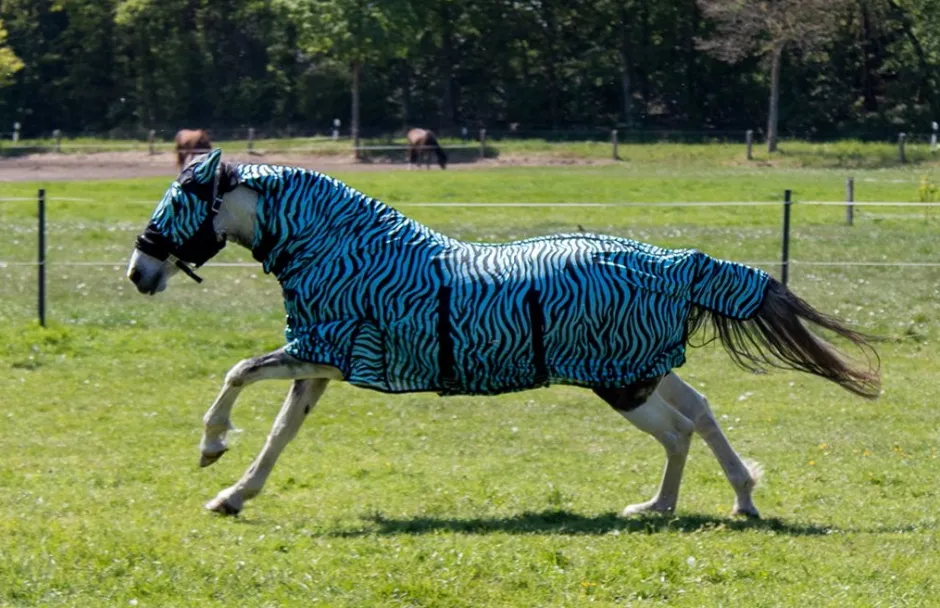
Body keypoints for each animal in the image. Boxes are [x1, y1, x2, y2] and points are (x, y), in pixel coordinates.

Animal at [127, 149, 880, 517]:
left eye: (175, 202)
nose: (138, 272)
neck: (343, 251)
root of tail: (673, 263)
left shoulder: (323, 354)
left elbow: (237, 375)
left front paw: (211, 450)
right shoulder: (319, 364)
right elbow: (281, 434)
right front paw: (232, 495)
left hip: (623, 379)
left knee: (682, 425)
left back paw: (701, 505)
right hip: (637, 373)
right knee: (694, 416)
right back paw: (702, 502)